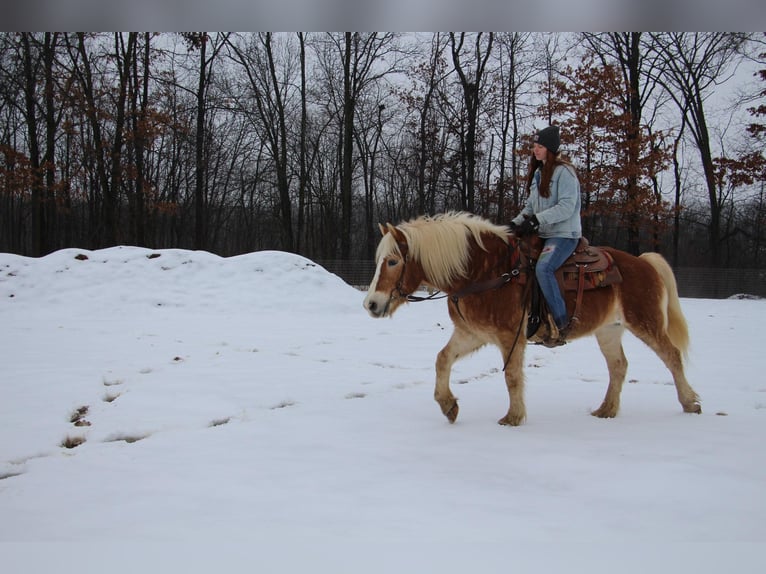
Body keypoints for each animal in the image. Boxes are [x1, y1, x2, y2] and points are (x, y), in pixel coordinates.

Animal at [364, 213, 704, 428]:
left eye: (392, 261)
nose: (371, 304)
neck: (484, 272)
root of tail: (644, 263)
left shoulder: (509, 336)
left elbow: (512, 376)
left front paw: (513, 417)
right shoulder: (472, 333)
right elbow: (442, 360)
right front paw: (449, 406)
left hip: (645, 322)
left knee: (672, 356)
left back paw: (690, 403)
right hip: (609, 330)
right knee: (619, 366)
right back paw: (606, 410)